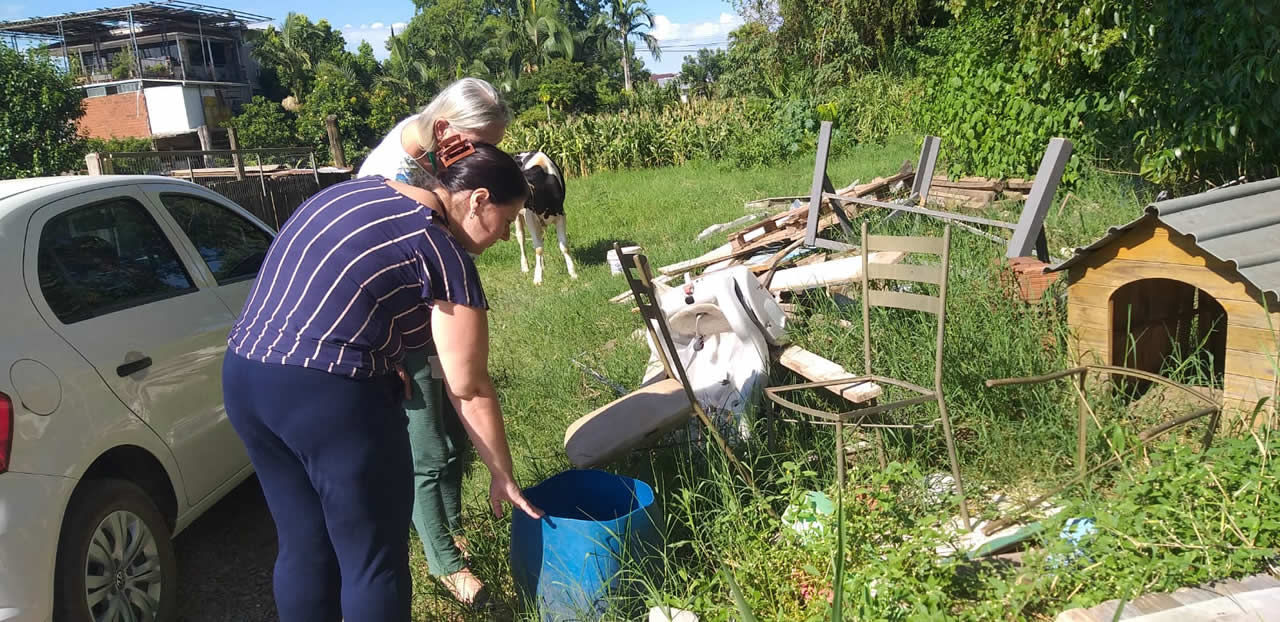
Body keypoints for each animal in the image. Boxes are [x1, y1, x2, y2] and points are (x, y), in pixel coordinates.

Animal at [512, 151, 578, 285]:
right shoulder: (530, 218)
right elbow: (538, 249)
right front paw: (538, 278)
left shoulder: (561, 215)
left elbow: (564, 247)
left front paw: (573, 273)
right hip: (519, 218)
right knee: (521, 238)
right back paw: (525, 267)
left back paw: (542, 266)